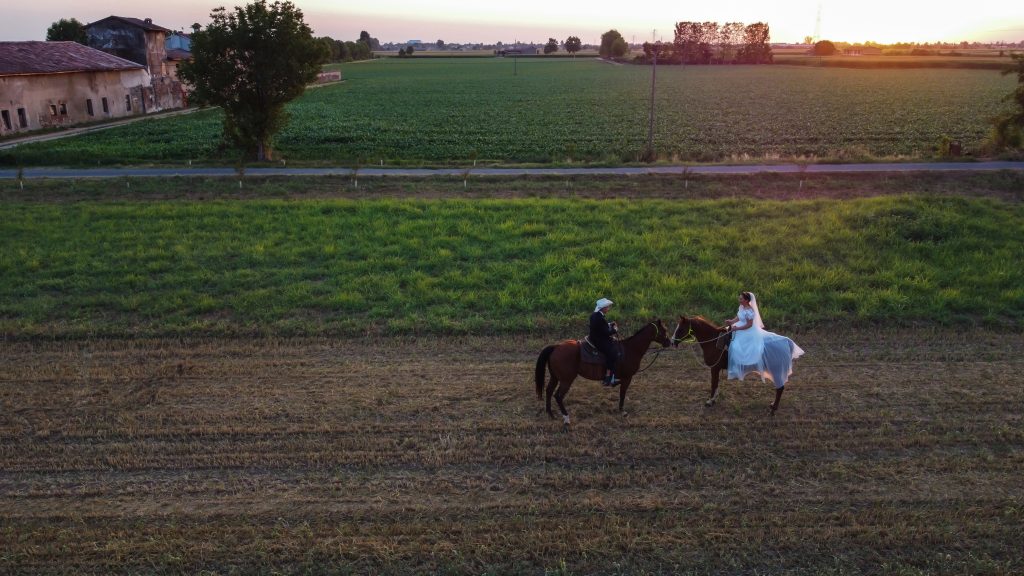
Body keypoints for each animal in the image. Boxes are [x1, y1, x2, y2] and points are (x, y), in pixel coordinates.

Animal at [532, 317, 675, 422]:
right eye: (664, 330)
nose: (669, 342)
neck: (630, 349)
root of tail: (555, 347)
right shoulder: (627, 378)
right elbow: (622, 394)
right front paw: (622, 411)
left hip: (555, 377)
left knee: (549, 391)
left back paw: (550, 414)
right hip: (566, 380)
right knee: (558, 396)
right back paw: (566, 418)